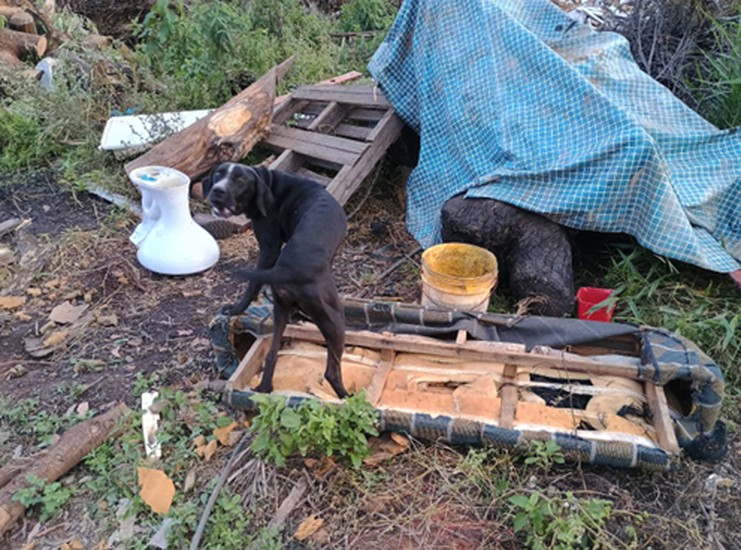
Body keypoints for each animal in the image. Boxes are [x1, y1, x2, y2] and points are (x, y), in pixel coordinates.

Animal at [203, 163, 349, 398]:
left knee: (271, 354)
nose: (218, 190)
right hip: (335, 320)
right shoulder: (269, 247)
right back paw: (348, 398)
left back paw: (264, 388)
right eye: (219, 174)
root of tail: (287, 269)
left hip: (281, 311)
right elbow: (252, 285)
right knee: (331, 372)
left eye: (241, 179)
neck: (268, 182)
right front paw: (237, 309)